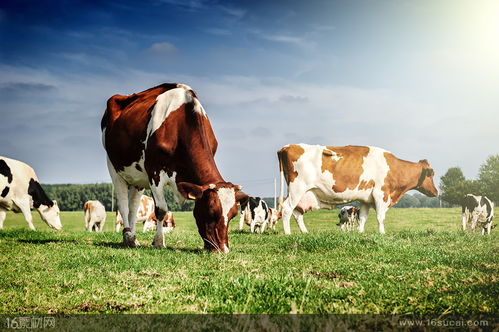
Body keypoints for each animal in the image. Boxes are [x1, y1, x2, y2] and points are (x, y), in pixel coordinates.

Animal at [102, 83, 248, 252]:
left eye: (233, 214)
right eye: (211, 211)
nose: (223, 250)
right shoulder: (154, 172)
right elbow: (161, 209)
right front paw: (159, 242)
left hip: (137, 177)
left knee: (133, 206)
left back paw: (133, 238)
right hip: (114, 167)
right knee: (123, 204)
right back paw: (127, 236)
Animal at [278, 144, 438, 235]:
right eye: (431, 174)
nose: (436, 192)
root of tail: (287, 146)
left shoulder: (366, 199)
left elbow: (363, 218)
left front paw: (360, 233)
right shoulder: (381, 194)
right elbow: (380, 217)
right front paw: (382, 233)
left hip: (303, 193)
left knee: (297, 212)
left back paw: (305, 232)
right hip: (297, 188)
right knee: (287, 209)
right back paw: (288, 233)